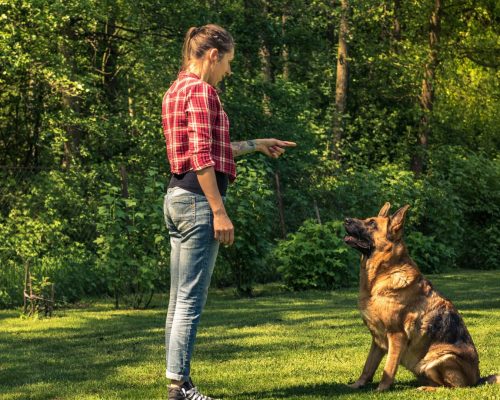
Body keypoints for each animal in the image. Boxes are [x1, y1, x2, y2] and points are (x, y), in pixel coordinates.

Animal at [342, 203, 498, 390]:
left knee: (450, 387)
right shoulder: (377, 341)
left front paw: (381, 390)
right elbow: (368, 367)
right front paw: (356, 386)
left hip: (441, 359)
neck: (380, 276)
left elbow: (389, 368)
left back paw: (426, 388)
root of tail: (477, 380)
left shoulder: (396, 335)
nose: (345, 219)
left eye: (372, 223)